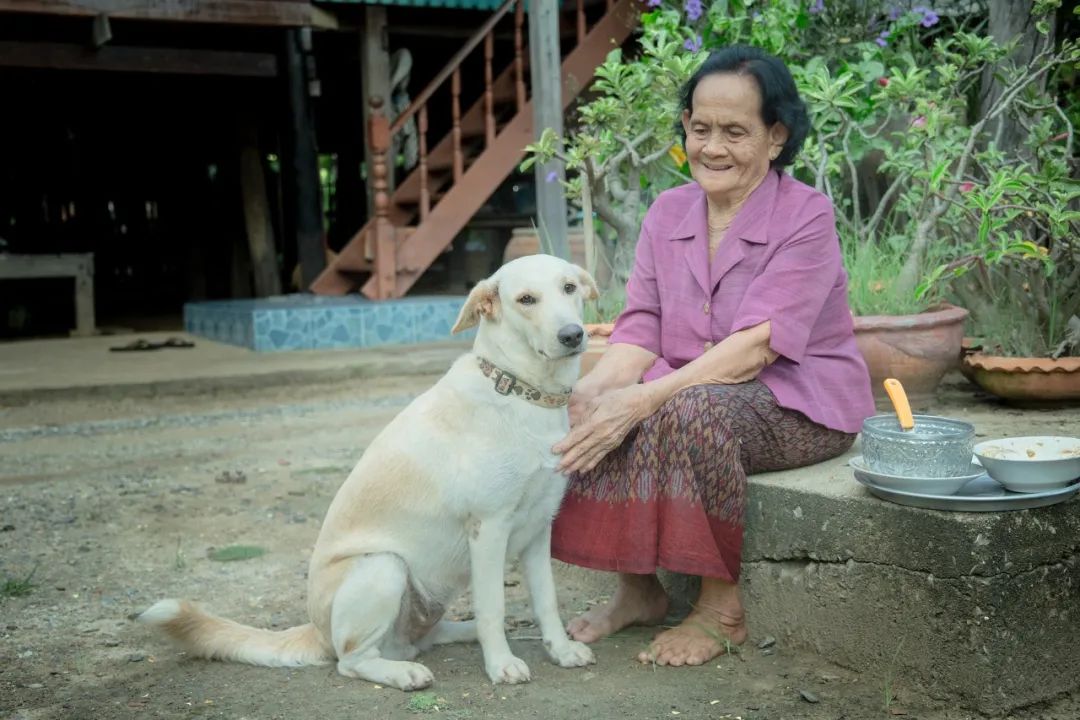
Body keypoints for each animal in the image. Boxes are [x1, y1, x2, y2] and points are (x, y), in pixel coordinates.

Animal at [137, 254, 600, 690]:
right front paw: (501, 665)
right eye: (526, 299)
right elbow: (493, 606)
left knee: (421, 638)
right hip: (384, 566)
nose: (573, 335)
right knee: (352, 661)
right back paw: (404, 673)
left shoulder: (538, 529)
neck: (522, 391)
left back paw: (461, 634)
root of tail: (317, 630)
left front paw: (560, 650)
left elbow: (546, 601)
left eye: (569, 287)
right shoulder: (488, 529)